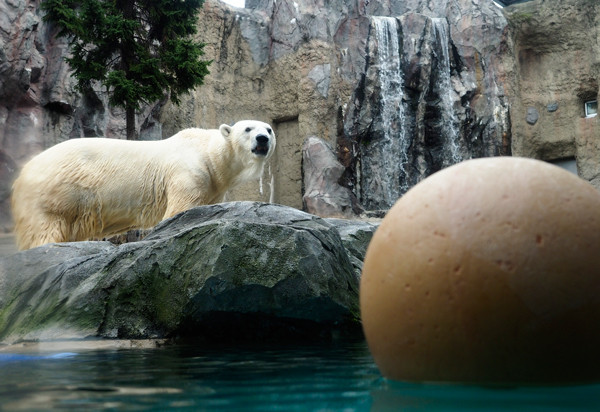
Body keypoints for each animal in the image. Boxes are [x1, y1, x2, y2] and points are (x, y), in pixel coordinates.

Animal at [11, 119, 276, 248]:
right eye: (247, 128)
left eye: (269, 129)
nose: (262, 139)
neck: (209, 154)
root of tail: (22, 174)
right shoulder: (188, 172)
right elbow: (180, 208)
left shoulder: (212, 186)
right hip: (56, 193)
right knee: (45, 229)